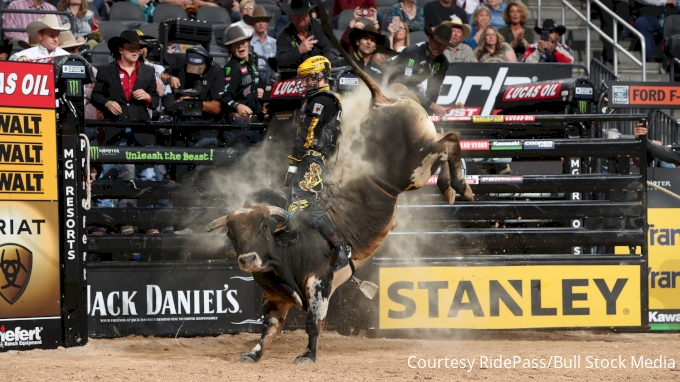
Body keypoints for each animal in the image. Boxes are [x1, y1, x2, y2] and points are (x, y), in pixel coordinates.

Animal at [205, 7, 476, 364]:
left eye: (263, 227)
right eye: (232, 233)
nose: (248, 260)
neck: (286, 247)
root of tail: (382, 101)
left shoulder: (319, 282)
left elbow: (313, 321)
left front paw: (308, 354)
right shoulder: (275, 298)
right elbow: (269, 329)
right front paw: (252, 353)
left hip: (414, 167)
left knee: (450, 139)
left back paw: (457, 184)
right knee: (447, 141)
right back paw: (451, 184)